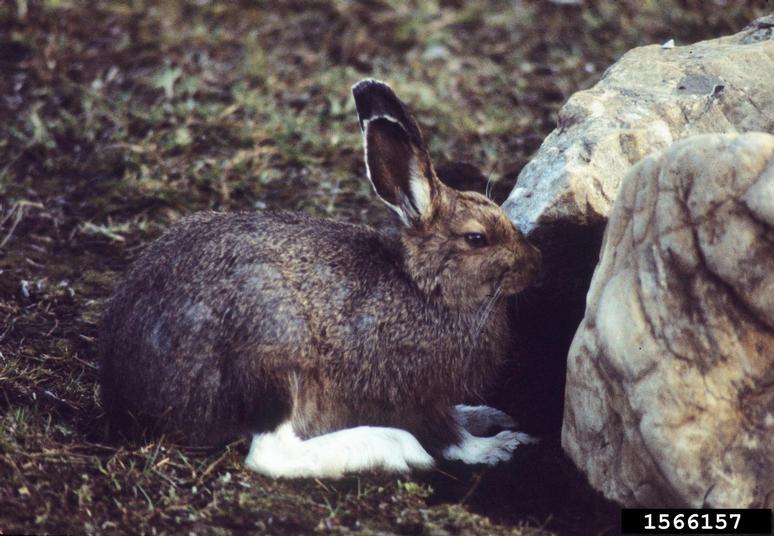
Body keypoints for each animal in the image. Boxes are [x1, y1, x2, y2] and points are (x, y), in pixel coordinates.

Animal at [98, 79, 542, 479]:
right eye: (477, 238)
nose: (534, 263)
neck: (423, 286)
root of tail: (126, 390)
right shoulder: (414, 393)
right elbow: (449, 437)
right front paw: (497, 447)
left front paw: (486, 416)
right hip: (274, 350)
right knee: (269, 453)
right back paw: (393, 448)